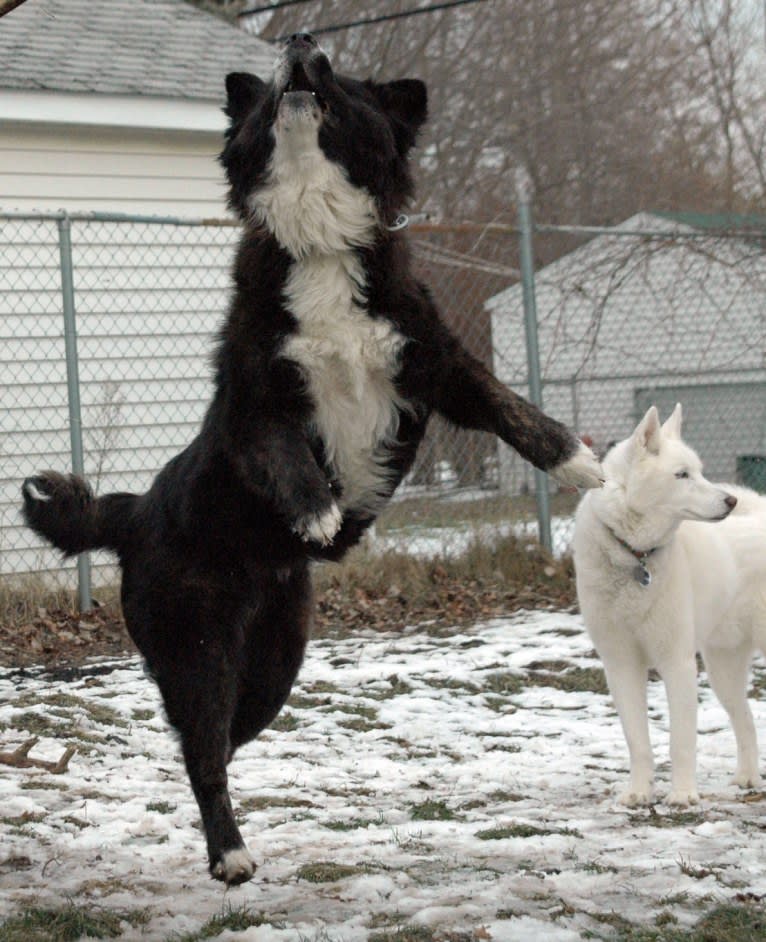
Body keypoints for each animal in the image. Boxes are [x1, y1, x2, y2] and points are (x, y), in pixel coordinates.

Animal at [21, 31, 604, 884]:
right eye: (270, 94)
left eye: (343, 80)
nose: (299, 43)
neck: (319, 243)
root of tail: (132, 513)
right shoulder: (254, 402)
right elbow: (287, 453)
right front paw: (319, 509)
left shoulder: (433, 364)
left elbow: (511, 408)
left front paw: (581, 463)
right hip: (197, 644)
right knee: (202, 750)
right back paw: (228, 853)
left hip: (274, 663)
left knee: (216, 741)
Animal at [576, 402, 766, 808]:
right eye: (682, 475)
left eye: (700, 471)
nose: (731, 501)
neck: (636, 557)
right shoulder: (620, 666)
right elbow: (638, 742)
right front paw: (638, 792)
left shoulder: (676, 663)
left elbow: (681, 740)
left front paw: (682, 795)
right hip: (722, 671)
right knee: (745, 721)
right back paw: (746, 778)